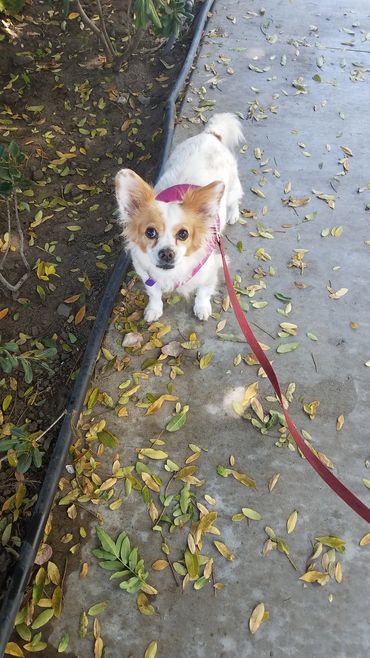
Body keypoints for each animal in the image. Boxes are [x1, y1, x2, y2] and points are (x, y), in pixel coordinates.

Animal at [114, 113, 244, 322]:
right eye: (150, 232)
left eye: (183, 234)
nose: (166, 253)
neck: (172, 273)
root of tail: (210, 134)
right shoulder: (147, 275)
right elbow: (154, 294)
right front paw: (154, 309)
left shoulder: (211, 270)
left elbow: (203, 292)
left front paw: (202, 307)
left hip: (231, 189)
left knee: (235, 200)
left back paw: (233, 214)